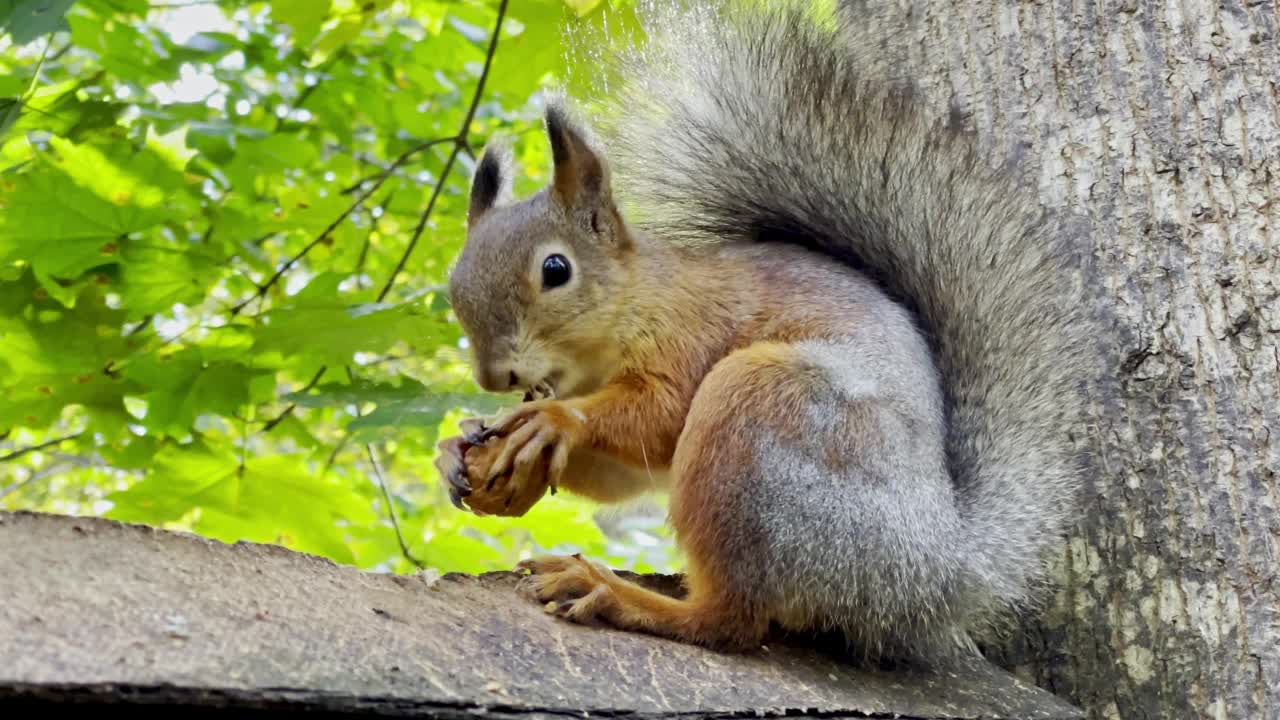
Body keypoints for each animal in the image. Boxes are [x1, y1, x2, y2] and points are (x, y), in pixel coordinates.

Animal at [430, 0, 1100, 661]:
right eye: (455, 280)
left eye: (555, 269)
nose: (494, 376)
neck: (630, 310)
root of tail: (935, 573)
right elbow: (622, 475)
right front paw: (466, 453)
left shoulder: (693, 332)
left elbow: (660, 415)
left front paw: (552, 421)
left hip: (760, 415)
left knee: (732, 620)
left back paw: (616, 594)